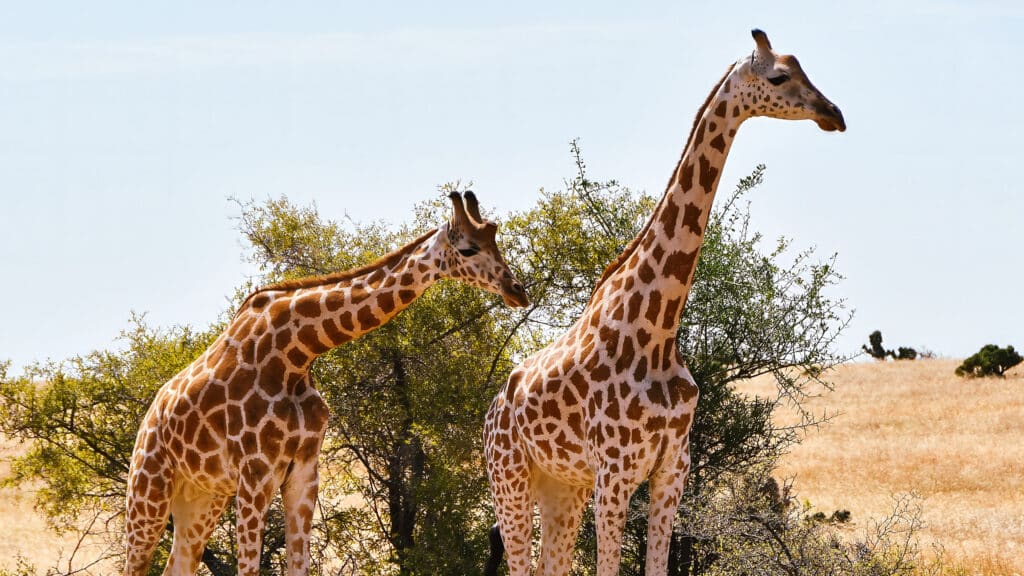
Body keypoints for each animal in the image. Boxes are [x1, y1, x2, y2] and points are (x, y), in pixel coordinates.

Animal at [125, 191, 528, 573]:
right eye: (468, 248)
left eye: (495, 240)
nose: (517, 290)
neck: (296, 354)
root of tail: (148, 419)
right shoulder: (255, 473)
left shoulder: (303, 471)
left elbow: (299, 565)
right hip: (148, 489)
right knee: (137, 563)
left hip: (202, 496)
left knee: (178, 563)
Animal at [483, 30, 843, 573]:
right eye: (780, 77)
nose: (834, 113)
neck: (657, 330)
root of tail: (490, 412)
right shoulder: (614, 473)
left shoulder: (672, 469)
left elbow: (657, 565)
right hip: (510, 479)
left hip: (561, 486)